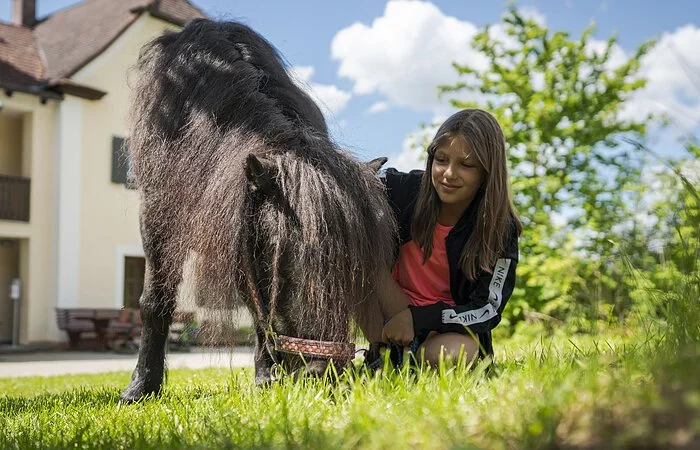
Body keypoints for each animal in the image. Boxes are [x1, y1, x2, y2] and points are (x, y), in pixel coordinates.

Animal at [120, 19, 396, 402]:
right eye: (281, 263)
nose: (322, 372)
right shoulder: (157, 215)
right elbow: (154, 302)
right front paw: (141, 387)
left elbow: (255, 308)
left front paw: (266, 376)